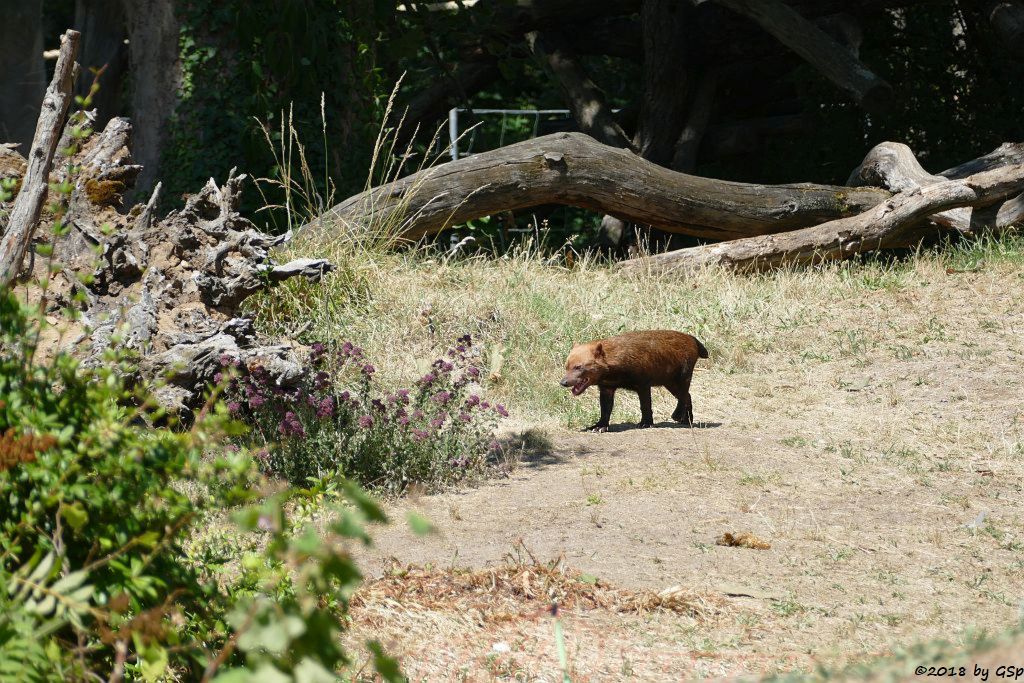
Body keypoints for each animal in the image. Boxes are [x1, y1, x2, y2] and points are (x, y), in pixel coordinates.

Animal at [561, 331, 712, 432]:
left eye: (578, 367)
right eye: (567, 366)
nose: (563, 382)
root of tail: (693, 339)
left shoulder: (643, 384)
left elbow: (645, 406)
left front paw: (645, 423)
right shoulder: (607, 388)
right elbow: (605, 410)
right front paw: (598, 426)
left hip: (682, 378)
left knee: (685, 396)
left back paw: (679, 417)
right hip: (669, 382)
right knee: (688, 396)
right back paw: (686, 420)